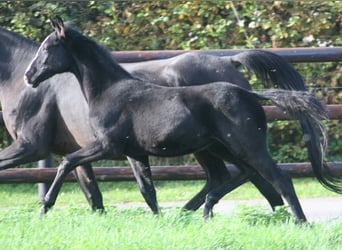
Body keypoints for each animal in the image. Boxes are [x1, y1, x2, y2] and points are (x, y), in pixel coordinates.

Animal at [24, 18, 340, 225]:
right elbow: (148, 191)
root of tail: (250, 94)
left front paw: (43, 208)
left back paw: (300, 221)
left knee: (278, 177)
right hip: (221, 147)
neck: (110, 91)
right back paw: (207, 209)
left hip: (246, 146)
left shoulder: (108, 146)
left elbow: (67, 162)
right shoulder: (135, 153)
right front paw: (159, 222)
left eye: (47, 48)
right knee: (244, 174)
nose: (29, 75)